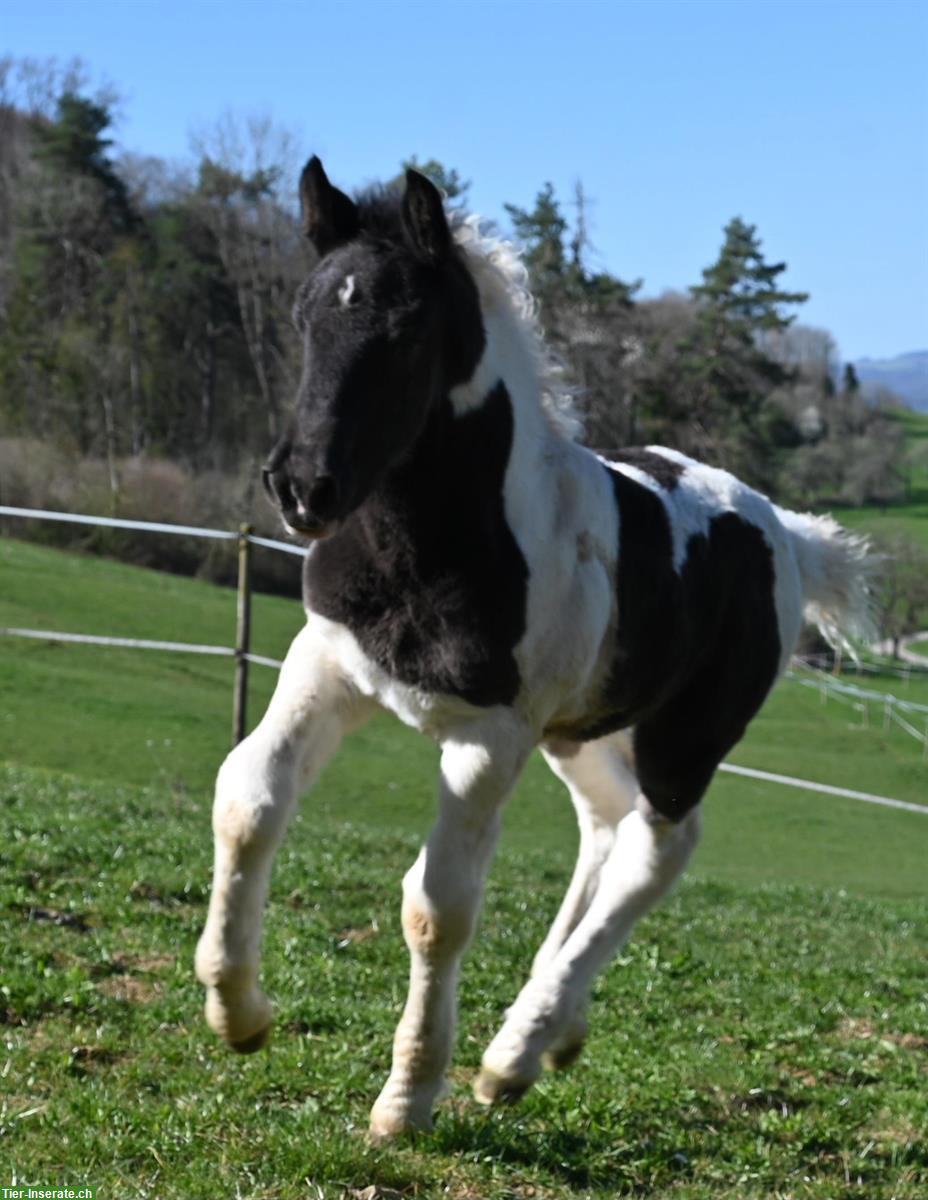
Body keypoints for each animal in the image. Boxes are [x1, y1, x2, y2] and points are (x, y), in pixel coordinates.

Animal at [192, 164, 873, 1137]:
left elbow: (438, 905)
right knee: (608, 827)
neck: (431, 547)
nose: (301, 486)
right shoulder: (325, 666)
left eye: (406, 330)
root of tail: (786, 530)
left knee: (657, 848)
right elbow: (247, 798)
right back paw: (544, 1036)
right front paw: (239, 1013)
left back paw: (514, 1052)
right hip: (582, 730)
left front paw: (407, 1100)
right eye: (303, 316)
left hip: (682, 738)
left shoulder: (489, 735)